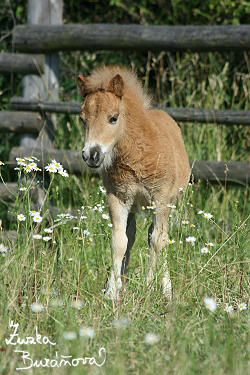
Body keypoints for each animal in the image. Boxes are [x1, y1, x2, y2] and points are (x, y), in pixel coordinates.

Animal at [78, 64, 189, 300]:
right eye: (82, 119)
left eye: (113, 118)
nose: (91, 154)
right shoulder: (118, 198)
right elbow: (120, 242)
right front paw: (112, 291)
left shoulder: (161, 200)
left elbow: (159, 241)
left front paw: (158, 289)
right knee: (134, 236)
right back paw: (125, 283)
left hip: (165, 204)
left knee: (157, 237)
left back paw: (157, 286)